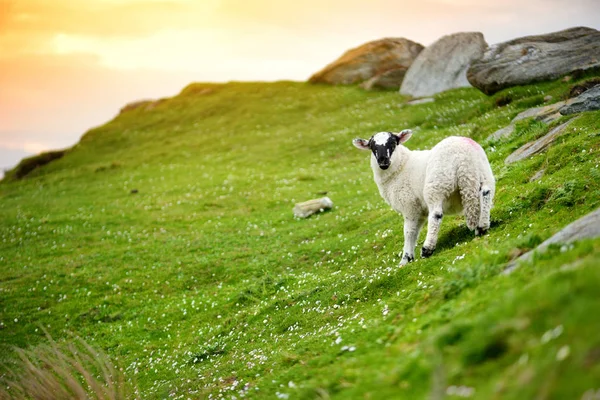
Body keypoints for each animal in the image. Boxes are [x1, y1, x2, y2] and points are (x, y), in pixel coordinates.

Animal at [354, 130, 494, 264]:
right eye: (372, 147)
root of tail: (464, 155)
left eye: (393, 143)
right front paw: (409, 257)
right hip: (484, 173)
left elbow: (409, 231)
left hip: (437, 184)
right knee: (486, 193)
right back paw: (482, 227)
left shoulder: (409, 205)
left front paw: (405, 259)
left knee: (436, 214)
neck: (401, 167)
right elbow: (415, 232)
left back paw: (427, 249)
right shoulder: (419, 210)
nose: (383, 160)